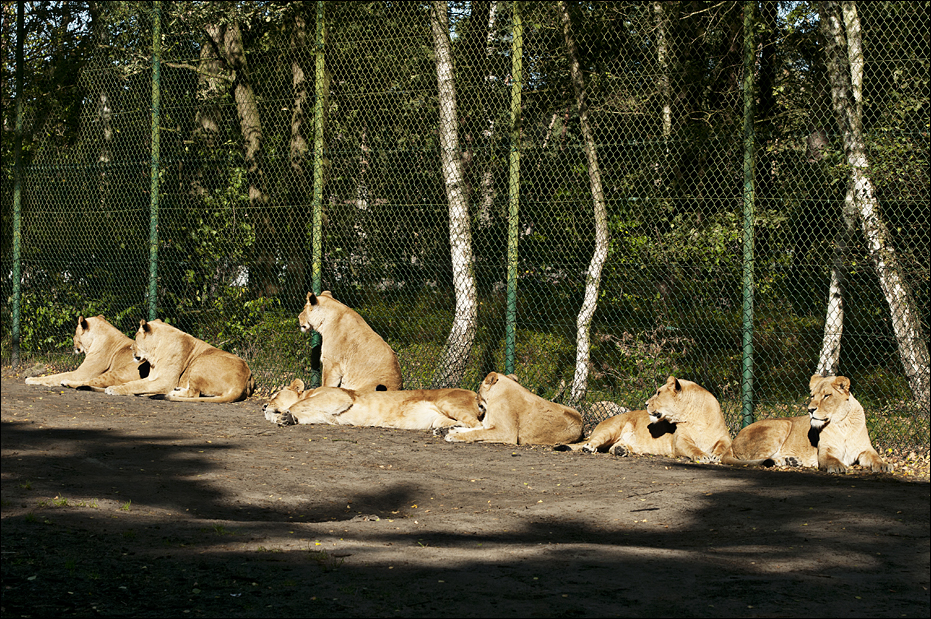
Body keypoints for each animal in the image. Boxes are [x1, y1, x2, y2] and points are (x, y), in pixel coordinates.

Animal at [104, 319, 254, 403]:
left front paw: (113, 389)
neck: (154, 354)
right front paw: (116, 387)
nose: (130, 347)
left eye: (135, 336)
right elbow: (133, 383)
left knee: (194, 394)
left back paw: (172, 393)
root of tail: (242, 382)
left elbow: (137, 386)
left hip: (199, 362)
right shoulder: (152, 378)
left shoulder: (166, 381)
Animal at [444, 372, 583, 445]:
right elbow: (476, 429)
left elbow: (476, 432)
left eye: (478, 390)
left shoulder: (507, 433)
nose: (475, 399)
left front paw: (453, 436)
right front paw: (453, 429)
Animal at [556, 376, 732, 463]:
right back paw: (590, 448)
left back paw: (620, 450)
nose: (646, 403)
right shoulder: (680, 441)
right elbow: (692, 448)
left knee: (613, 447)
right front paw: (703, 456)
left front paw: (716, 455)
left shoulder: (725, 438)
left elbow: (723, 447)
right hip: (611, 428)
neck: (696, 418)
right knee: (590, 444)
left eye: (658, 393)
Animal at [721, 375, 891, 473]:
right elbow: (832, 460)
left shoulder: (865, 449)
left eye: (826, 396)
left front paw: (884, 465)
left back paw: (791, 461)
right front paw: (837, 466)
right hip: (782, 424)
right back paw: (783, 461)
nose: (810, 409)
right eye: (812, 396)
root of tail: (733, 441)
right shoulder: (825, 451)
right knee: (759, 459)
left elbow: (876, 457)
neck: (843, 424)